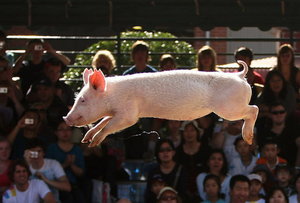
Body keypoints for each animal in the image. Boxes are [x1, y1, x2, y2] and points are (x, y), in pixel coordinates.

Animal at [62, 59, 258, 147]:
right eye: (77, 98)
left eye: (83, 99)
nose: (65, 118)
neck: (112, 95)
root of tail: (239, 75)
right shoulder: (116, 112)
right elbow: (103, 121)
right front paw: (86, 140)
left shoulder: (129, 113)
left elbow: (114, 125)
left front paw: (93, 143)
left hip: (229, 108)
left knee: (254, 109)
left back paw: (248, 138)